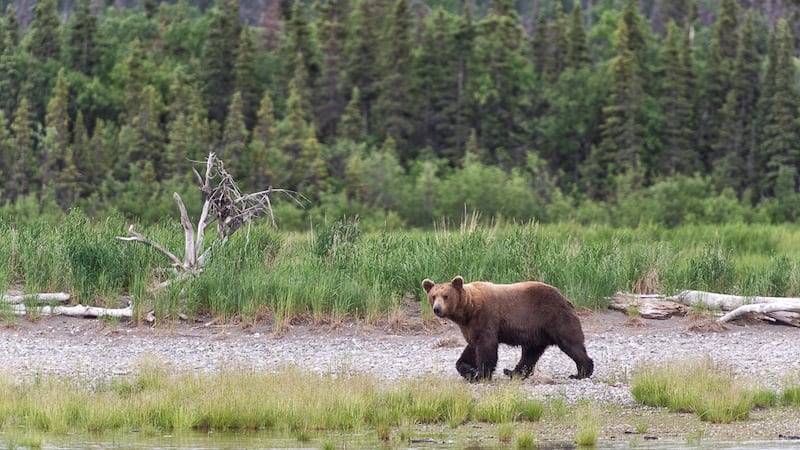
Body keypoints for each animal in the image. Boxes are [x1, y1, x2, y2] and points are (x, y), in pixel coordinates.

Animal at [422, 276, 593, 382]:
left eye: (446, 296)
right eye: (433, 296)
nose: (437, 309)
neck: (469, 310)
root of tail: (565, 298)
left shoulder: (487, 317)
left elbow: (486, 347)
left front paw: (481, 375)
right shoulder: (470, 327)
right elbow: (470, 350)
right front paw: (469, 370)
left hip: (553, 317)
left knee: (570, 343)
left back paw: (581, 372)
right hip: (536, 330)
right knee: (530, 353)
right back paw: (512, 372)